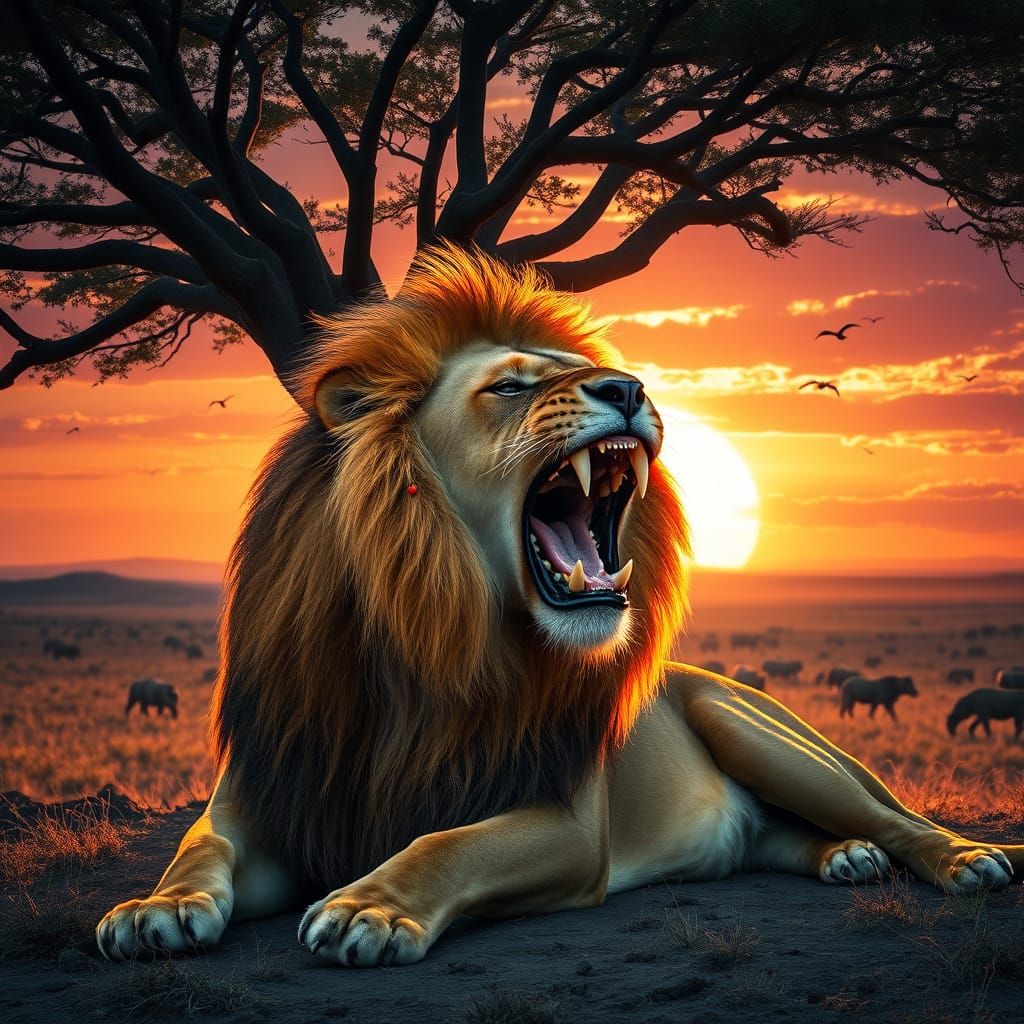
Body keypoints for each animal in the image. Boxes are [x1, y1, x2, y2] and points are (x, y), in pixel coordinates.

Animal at [97, 244, 1022, 967]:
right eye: (508, 388)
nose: (633, 388)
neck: (418, 645)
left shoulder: (570, 824)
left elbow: (445, 842)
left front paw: (369, 907)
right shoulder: (268, 792)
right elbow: (200, 847)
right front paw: (153, 910)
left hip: (760, 731)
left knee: (896, 817)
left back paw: (966, 859)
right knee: (788, 835)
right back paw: (845, 860)